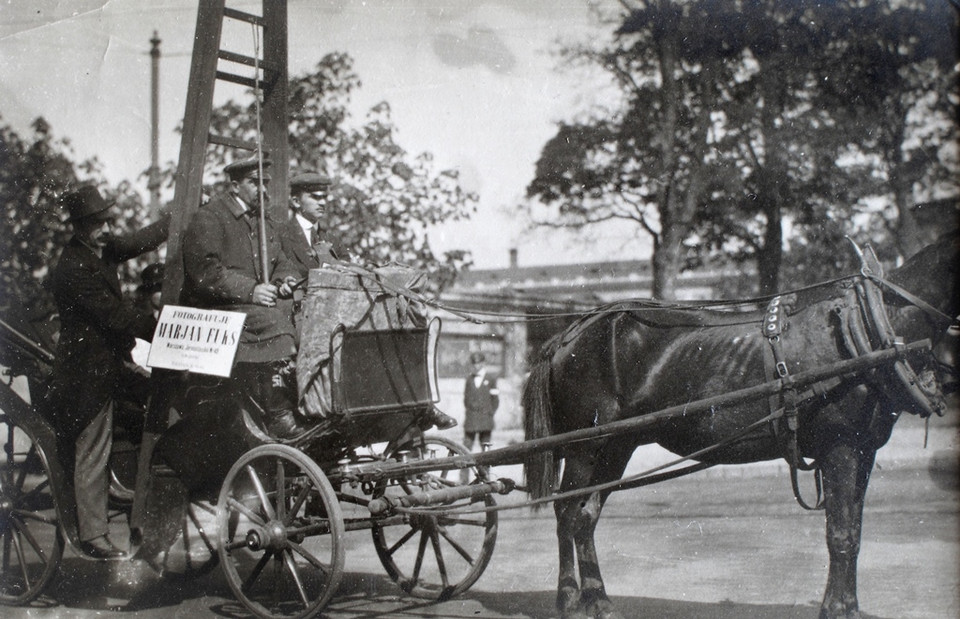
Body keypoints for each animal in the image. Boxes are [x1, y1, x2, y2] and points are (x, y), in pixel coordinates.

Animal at [524, 234, 960, 619]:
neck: (871, 326)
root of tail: (569, 334)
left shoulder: (864, 450)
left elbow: (853, 532)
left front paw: (846, 607)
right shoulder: (841, 448)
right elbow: (839, 533)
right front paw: (837, 610)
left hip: (617, 445)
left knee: (586, 516)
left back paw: (596, 600)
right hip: (585, 447)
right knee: (568, 512)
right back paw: (571, 600)